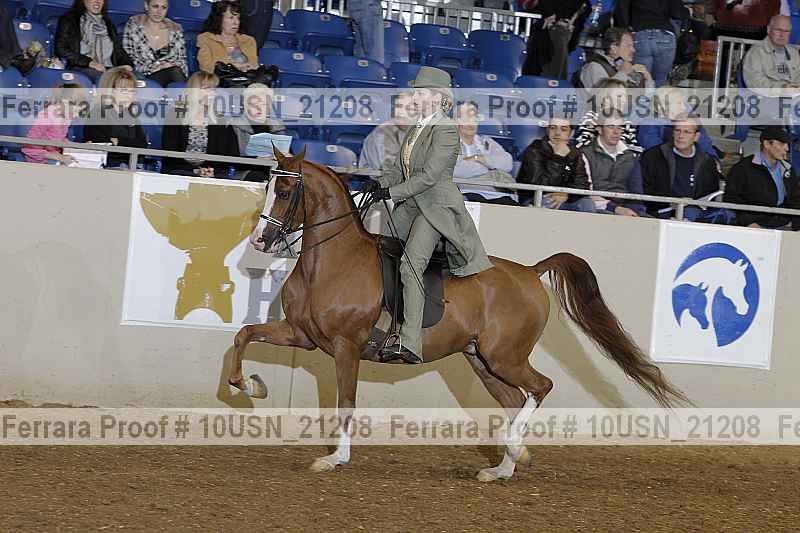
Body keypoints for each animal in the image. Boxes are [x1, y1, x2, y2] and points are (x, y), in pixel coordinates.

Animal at [230, 148, 689, 482]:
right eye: (267, 187)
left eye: (284, 193)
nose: (261, 241)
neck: (331, 261)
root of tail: (529, 272)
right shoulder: (301, 335)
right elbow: (245, 335)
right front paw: (251, 386)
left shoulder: (346, 347)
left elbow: (345, 401)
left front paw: (334, 460)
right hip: (483, 360)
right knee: (514, 400)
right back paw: (504, 466)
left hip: (505, 356)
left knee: (540, 387)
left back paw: (515, 452)